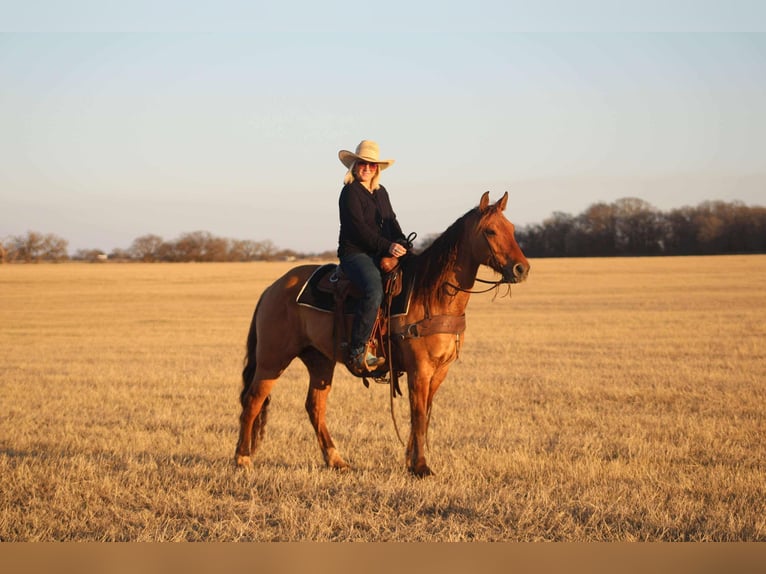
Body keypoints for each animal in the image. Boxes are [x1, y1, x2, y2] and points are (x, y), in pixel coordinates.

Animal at [237, 191, 532, 480]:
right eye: (491, 231)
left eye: (511, 228)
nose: (522, 269)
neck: (430, 294)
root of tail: (273, 288)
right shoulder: (419, 370)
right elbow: (418, 415)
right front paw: (421, 466)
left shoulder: (440, 371)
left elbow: (424, 413)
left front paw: (412, 462)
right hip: (272, 359)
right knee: (253, 401)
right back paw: (242, 459)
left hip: (320, 360)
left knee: (314, 406)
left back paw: (336, 460)